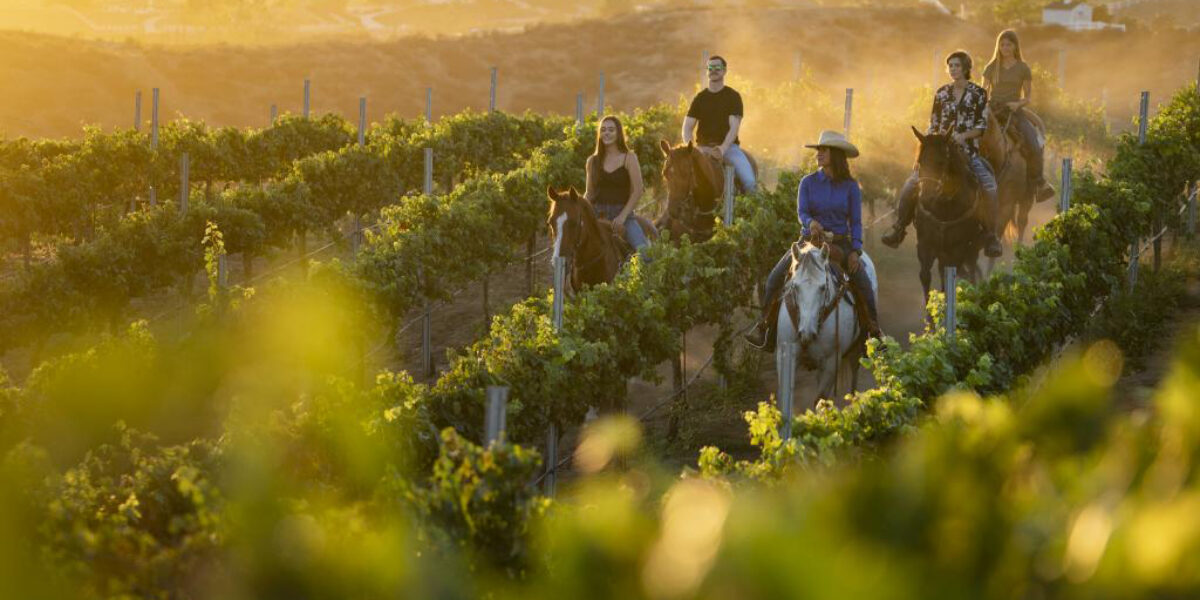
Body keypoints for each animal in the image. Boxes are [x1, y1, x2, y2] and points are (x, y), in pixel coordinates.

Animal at [772, 238, 878, 412]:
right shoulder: (785, 354)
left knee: (854, 377)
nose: (806, 332)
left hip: (857, 347)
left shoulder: (831, 361)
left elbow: (820, 400)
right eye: (795, 286)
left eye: (823, 287)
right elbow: (784, 397)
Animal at [912, 127, 988, 304]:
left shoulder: (958, 248)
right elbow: (925, 276)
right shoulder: (925, 243)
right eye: (920, 161)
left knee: (970, 271)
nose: (925, 198)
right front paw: (930, 310)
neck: (944, 207)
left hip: (971, 248)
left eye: (941, 162)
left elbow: (948, 281)